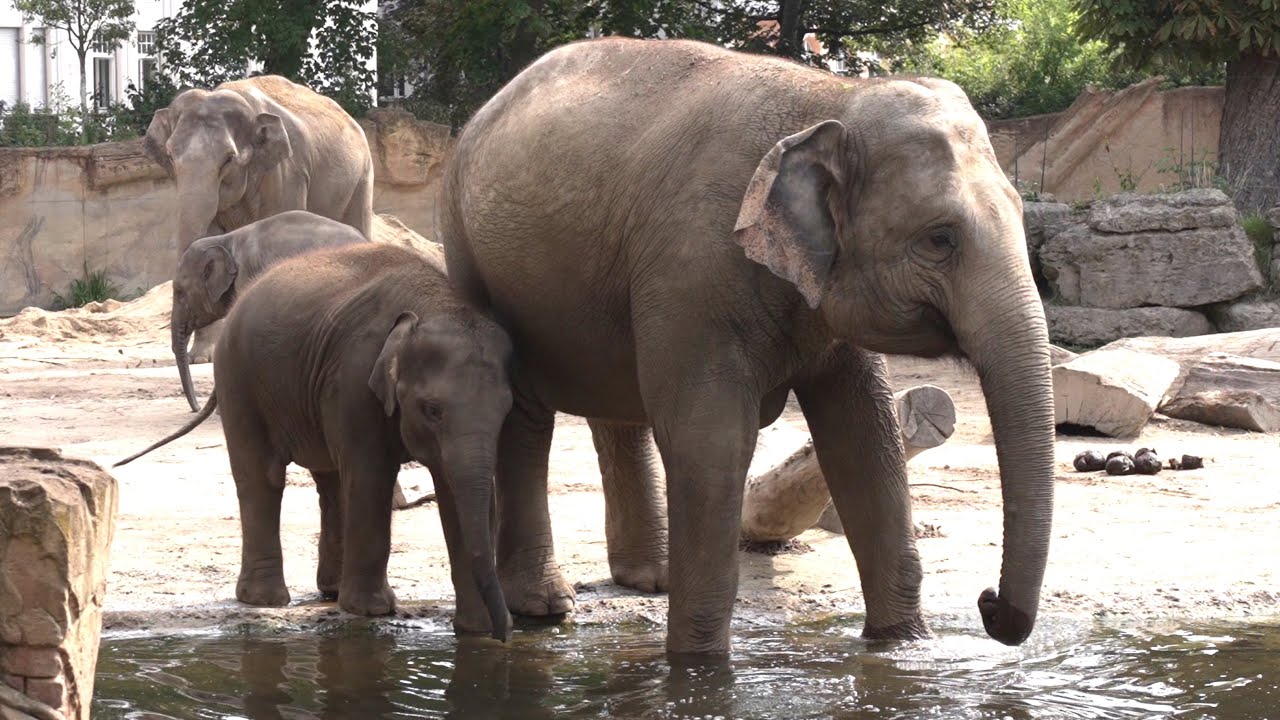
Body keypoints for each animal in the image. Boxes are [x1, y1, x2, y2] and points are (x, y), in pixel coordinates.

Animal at [115, 243, 514, 640]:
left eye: (506, 409)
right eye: (432, 409)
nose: (505, 634)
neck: (434, 303)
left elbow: (452, 489)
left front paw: (475, 631)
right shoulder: (354, 378)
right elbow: (371, 475)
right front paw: (372, 610)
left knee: (330, 480)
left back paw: (330, 592)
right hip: (239, 378)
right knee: (262, 478)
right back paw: (265, 600)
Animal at [440, 38, 1055, 656]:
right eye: (939, 239)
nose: (988, 604)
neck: (832, 101)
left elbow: (864, 436)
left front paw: (902, 646)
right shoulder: (692, 272)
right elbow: (711, 442)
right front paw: (698, 667)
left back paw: (650, 580)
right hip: (471, 257)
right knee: (526, 414)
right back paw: (545, 606)